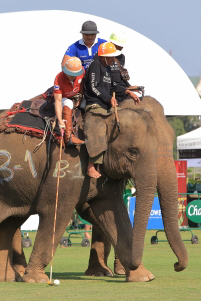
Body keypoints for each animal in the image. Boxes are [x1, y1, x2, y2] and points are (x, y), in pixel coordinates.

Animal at [0, 96, 188, 282]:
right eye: (132, 151)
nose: (176, 265)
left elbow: (112, 211)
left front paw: (142, 276)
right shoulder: (66, 165)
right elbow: (55, 209)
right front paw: (36, 279)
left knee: (10, 222)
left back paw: (9, 277)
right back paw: (18, 274)